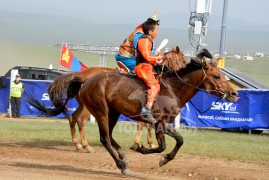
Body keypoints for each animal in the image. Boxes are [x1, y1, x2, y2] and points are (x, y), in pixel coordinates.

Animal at [27, 46, 186, 152]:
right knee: (80, 120)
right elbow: (143, 123)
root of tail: (81, 75)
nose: (181, 71)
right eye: (183, 60)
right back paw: (86, 146)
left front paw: (145, 142)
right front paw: (142, 143)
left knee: (72, 118)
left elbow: (144, 123)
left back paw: (77, 144)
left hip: (83, 104)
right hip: (89, 107)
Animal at [60, 58, 237, 174]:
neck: (172, 89)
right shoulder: (158, 122)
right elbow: (165, 145)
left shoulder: (163, 122)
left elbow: (176, 141)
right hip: (101, 112)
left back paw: (122, 157)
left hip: (114, 113)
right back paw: (121, 165)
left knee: (108, 135)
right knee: (104, 138)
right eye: (216, 76)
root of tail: (86, 80)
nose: (234, 94)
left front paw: (160, 156)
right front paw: (144, 149)